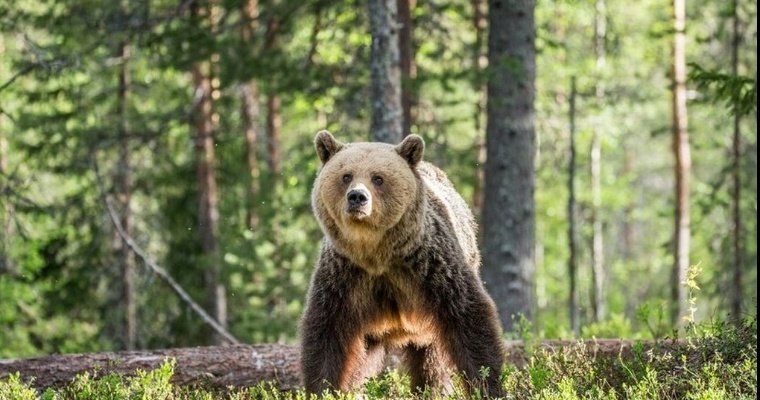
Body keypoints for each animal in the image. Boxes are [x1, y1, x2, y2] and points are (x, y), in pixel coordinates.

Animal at [300, 131, 508, 396]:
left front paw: (487, 385)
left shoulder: (429, 266)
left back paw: (430, 389)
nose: (357, 197)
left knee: (432, 362)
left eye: (378, 178)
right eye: (346, 175)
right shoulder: (344, 276)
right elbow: (326, 332)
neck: (377, 253)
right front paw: (324, 388)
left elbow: (468, 317)